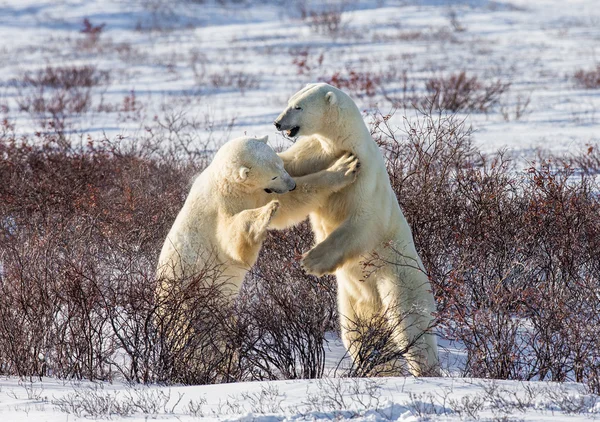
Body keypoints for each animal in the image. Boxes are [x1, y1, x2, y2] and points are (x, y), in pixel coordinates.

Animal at [157, 134, 358, 302]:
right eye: (273, 176)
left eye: (281, 164)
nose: (291, 184)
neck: (227, 184)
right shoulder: (220, 208)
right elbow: (232, 239)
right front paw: (267, 212)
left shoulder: (258, 193)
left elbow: (290, 202)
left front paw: (344, 164)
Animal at [274, 82, 438, 376]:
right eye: (290, 101)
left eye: (298, 106)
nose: (278, 123)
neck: (342, 143)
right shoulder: (313, 152)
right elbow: (289, 169)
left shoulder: (365, 177)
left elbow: (361, 222)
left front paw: (311, 262)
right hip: (351, 301)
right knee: (356, 334)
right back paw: (379, 369)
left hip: (398, 279)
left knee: (411, 327)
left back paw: (424, 372)